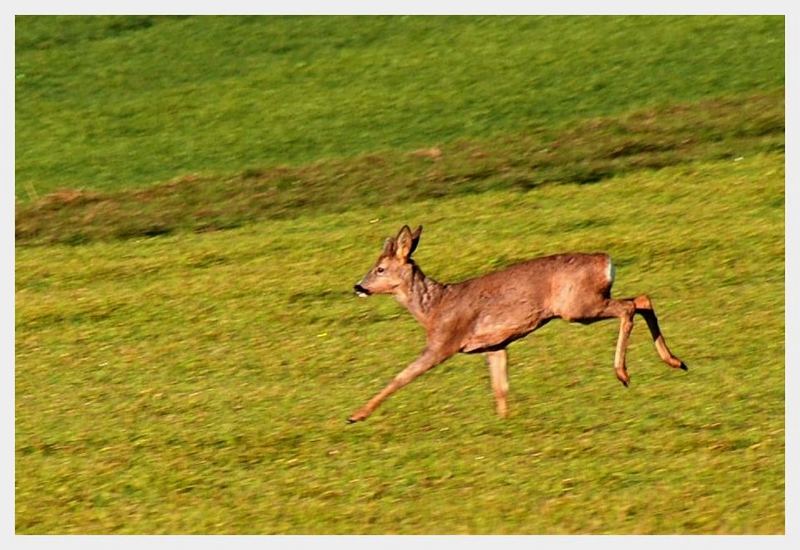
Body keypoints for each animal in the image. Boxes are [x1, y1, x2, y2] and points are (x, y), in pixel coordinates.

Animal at [350, 226, 688, 424]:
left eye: (380, 269)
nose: (358, 286)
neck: (434, 308)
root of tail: (607, 262)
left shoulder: (444, 341)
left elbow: (401, 376)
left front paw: (356, 415)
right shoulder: (495, 344)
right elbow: (500, 387)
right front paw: (504, 421)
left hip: (578, 307)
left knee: (629, 307)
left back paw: (623, 373)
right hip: (587, 303)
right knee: (643, 299)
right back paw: (676, 361)